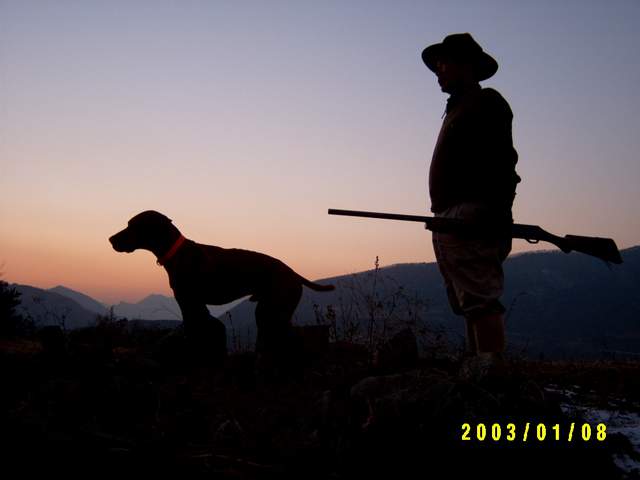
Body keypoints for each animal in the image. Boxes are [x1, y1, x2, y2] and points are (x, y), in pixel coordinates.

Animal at [109, 210, 334, 366]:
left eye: (132, 225)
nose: (110, 239)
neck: (177, 253)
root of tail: (293, 273)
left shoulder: (189, 303)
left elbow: (193, 330)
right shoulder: (197, 306)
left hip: (269, 314)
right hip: (272, 314)